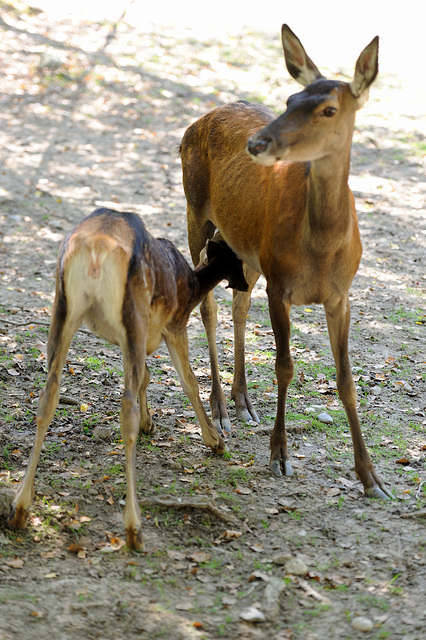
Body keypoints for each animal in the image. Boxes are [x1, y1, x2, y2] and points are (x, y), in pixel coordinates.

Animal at [9, 208, 250, 548]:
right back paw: (133, 527)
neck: (192, 285)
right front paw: (216, 440)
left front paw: (152, 423)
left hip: (64, 305)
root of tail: (97, 248)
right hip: (131, 310)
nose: (245, 283)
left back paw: (19, 508)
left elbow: (147, 377)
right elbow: (188, 381)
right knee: (125, 410)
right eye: (237, 256)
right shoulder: (174, 324)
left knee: (48, 393)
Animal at [178, 23, 392, 500]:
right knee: (208, 304)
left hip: (248, 252)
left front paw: (371, 478)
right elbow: (284, 366)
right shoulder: (281, 286)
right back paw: (219, 409)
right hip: (195, 210)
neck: (321, 251)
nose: (257, 143)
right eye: (291, 100)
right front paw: (279, 456)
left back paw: (242, 402)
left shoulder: (341, 295)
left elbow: (347, 380)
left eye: (329, 109)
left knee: (239, 304)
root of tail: (199, 119)